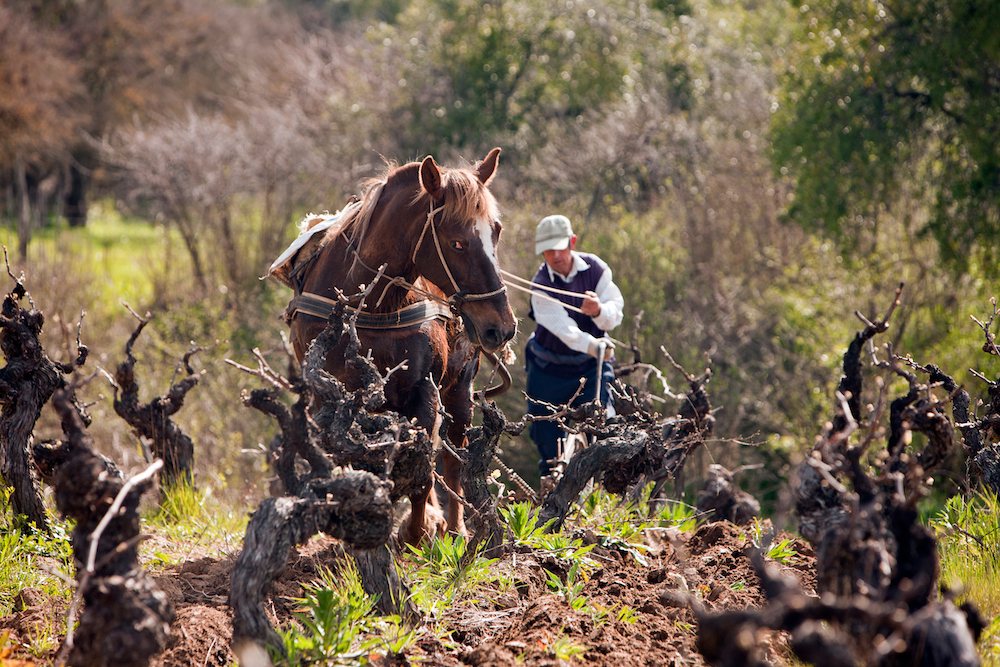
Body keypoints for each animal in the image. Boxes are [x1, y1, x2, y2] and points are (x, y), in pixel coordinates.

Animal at [278, 149, 520, 544]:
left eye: (495, 231)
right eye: (456, 242)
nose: (501, 326)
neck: (371, 305)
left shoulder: (425, 391)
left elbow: (423, 470)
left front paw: (415, 533)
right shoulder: (330, 396)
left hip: (459, 391)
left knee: (454, 458)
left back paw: (453, 526)